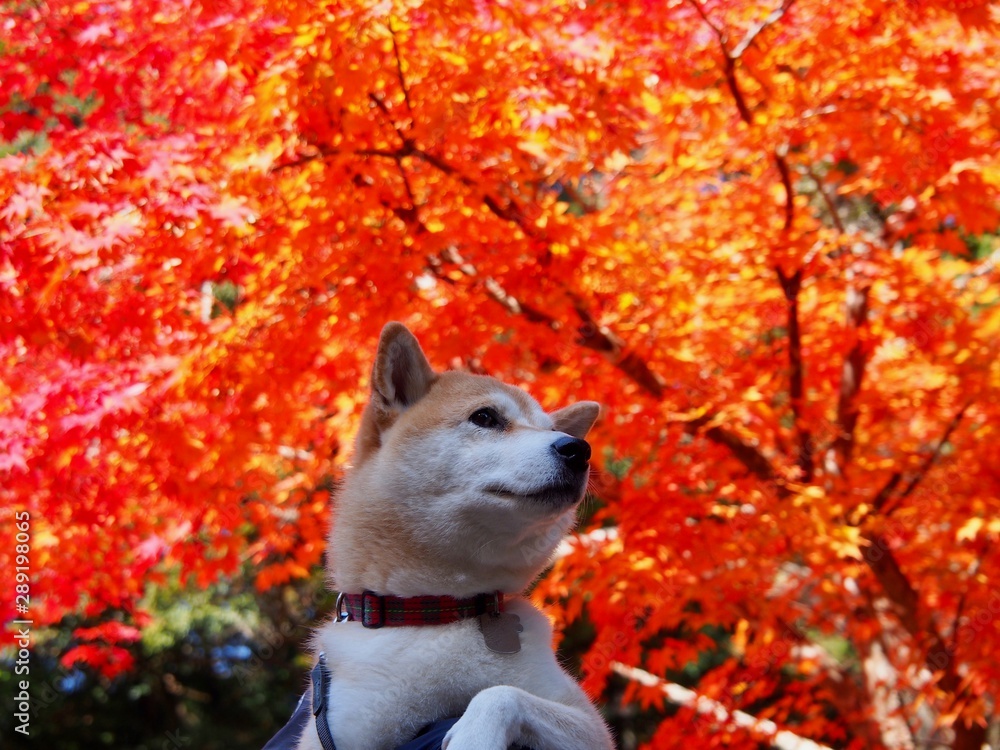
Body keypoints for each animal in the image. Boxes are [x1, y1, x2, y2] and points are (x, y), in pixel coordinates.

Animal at [296, 324, 608, 750]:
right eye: (485, 417)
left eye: (554, 431)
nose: (578, 448)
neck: (440, 609)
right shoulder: (336, 730)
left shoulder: (589, 724)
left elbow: (499, 694)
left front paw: (474, 735)